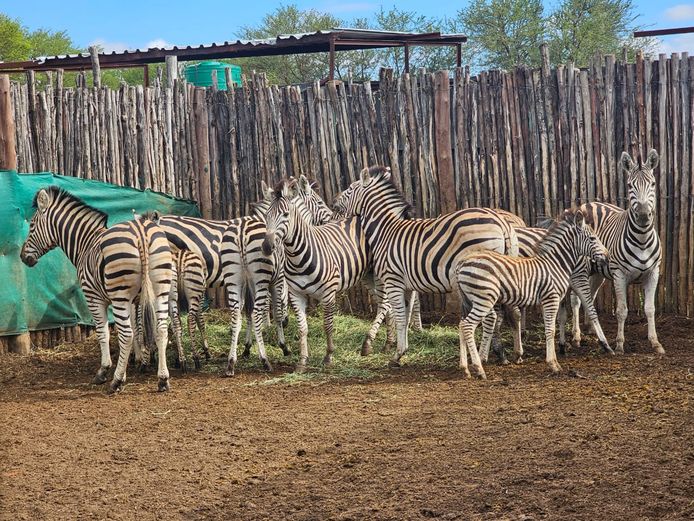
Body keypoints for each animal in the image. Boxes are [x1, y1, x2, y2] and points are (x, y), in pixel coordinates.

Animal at [20, 186, 173, 392]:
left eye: (32, 225)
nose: (22, 257)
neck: (85, 243)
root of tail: (141, 231)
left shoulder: (93, 297)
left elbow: (103, 332)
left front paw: (105, 371)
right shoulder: (134, 301)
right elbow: (133, 329)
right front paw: (135, 364)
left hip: (120, 296)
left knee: (126, 335)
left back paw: (116, 382)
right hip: (160, 290)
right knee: (161, 330)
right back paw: (163, 379)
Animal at [331, 166, 519, 375]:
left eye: (350, 188)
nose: (333, 202)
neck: (386, 231)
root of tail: (500, 221)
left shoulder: (393, 280)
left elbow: (399, 317)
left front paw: (396, 355)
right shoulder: (407, 285)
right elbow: (406, 316)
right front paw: (402, 351)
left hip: (480, 278)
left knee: (491, 317)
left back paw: (481, 358)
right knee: (506, 313)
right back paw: (500, 354)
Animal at [456, 209, 608, 375]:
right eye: (593, 238)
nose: (607, 256)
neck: (556, 264)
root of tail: (462, 262)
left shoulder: (548, 300)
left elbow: (552, 326)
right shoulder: (551, 298)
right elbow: (550, 330)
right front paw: (553, 364)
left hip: (471, 299)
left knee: (462, 325)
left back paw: (465, 368)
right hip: (483, 299)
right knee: (468, 326)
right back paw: (478, 369)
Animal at [566, 149, 664, 355]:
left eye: (652, 184)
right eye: (629, 185)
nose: (643, 215)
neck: (642, 239)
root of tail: (588, 204)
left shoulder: (653, 273)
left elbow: (650, 309)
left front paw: (655, 343)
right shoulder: (620, 275)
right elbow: (621, 310)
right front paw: (619, 344)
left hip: (597, 271)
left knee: (590, 295)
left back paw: (592, 331)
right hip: (579, 267)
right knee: (575, 299)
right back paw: (577, 336)